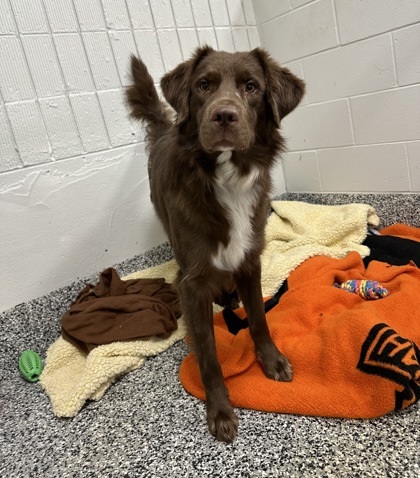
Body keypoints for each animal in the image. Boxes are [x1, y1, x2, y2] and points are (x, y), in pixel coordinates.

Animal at [125, 46, 306, 442]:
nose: (223, 115)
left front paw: (271, 360)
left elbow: (259, 319)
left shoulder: (250, 259)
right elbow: (208, 352)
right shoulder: (192, 280)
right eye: (203, 85)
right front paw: (220, 410)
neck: (226, 177)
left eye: (251, 87)